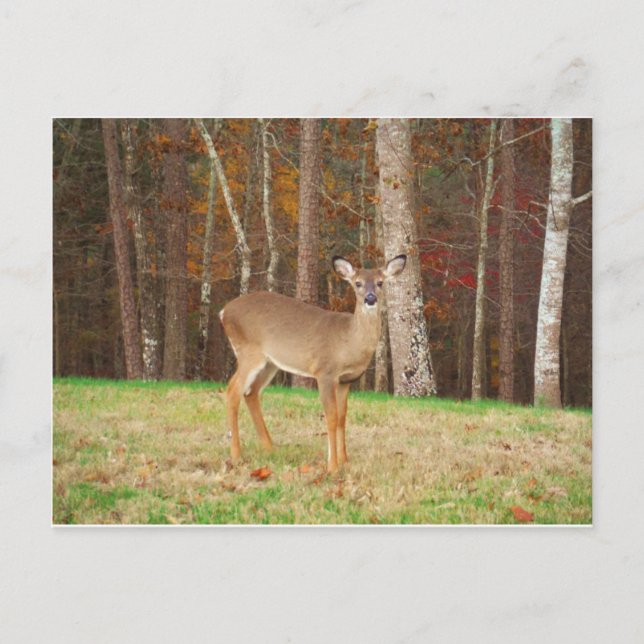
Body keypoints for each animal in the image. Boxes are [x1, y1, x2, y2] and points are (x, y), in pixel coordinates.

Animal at [219, 254, 407, 473]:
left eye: (380, 282)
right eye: (358, 283)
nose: (370, 298)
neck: (348, 342)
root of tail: (224, 311)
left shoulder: (345, 381)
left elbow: (342, 418)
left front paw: (345, 460)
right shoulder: (324, 372)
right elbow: (331, 417)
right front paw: (332, 466)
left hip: (270, 362)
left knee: (251, 392)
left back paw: (270, 448)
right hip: (249, 352)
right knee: (233, 390)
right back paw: (236, 455)